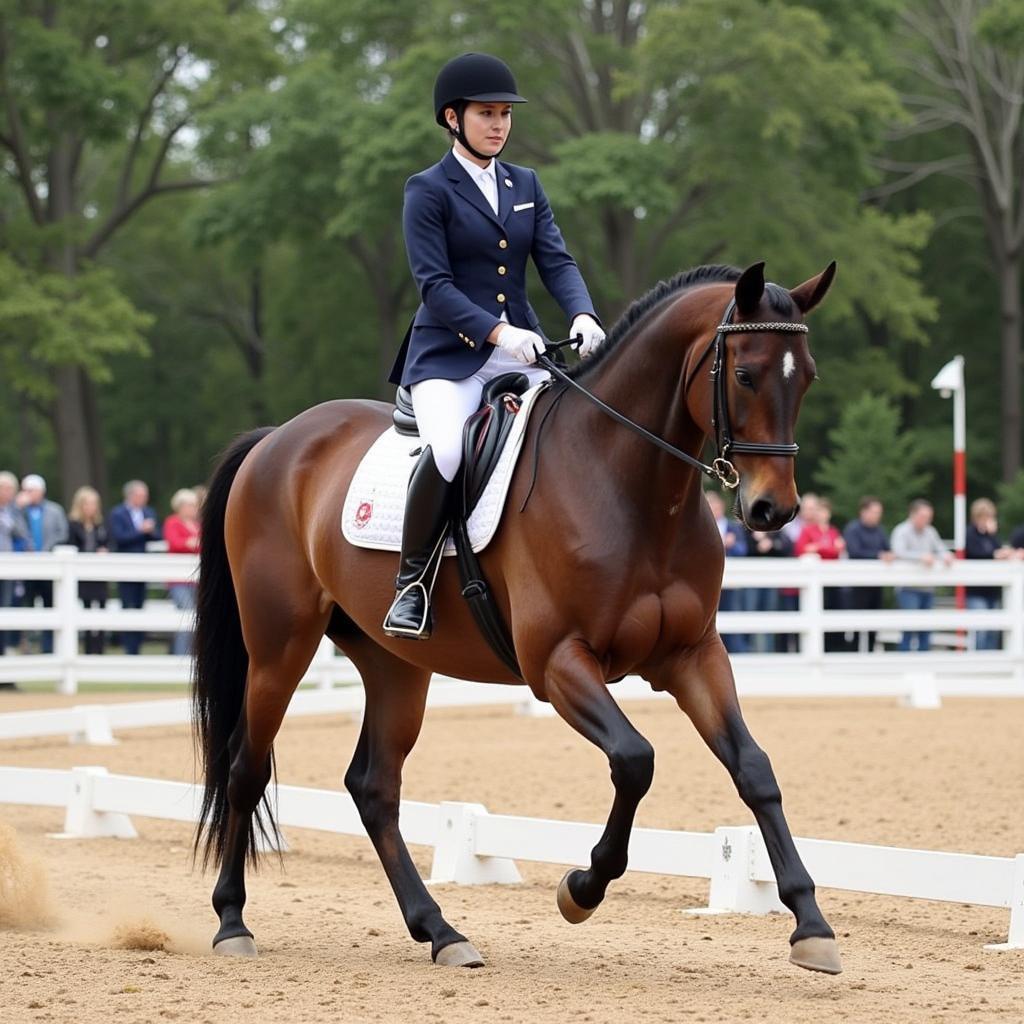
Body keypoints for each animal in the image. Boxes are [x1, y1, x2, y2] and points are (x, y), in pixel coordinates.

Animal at [190, 260, 839, 970]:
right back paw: (231, 922)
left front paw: (811, 925)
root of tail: (277, 439)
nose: (774, 511)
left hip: (394, 664)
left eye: (807, 374)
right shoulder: (557, 663)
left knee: (373, 786)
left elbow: (754, 770)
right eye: (745, 374)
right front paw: (581, 888)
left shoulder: (692, 656)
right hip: (279, 647)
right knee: (246, 765)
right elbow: (635, 759)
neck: (627, 483)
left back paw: (440, 931)